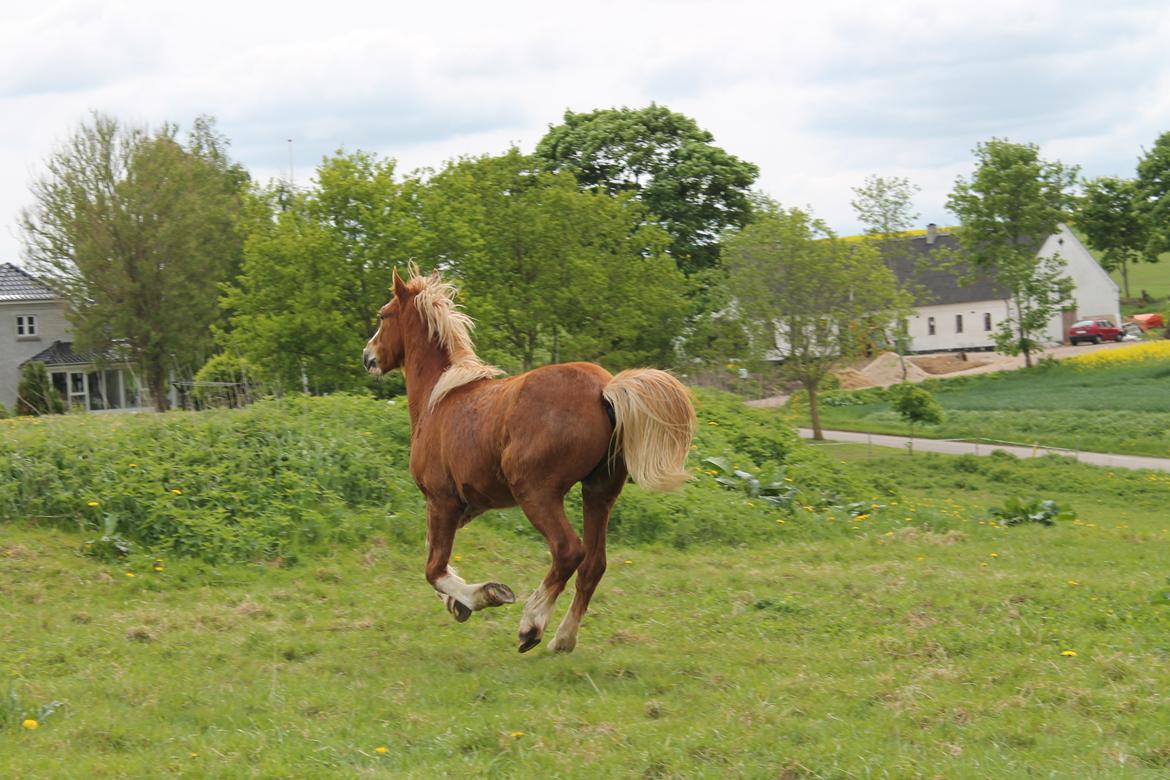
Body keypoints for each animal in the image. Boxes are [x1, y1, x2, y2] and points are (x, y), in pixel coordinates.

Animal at [365, 268, 692, 654]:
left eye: (383, 315)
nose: (368, 357)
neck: (440, 397)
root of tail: (605, 390)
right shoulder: (468, 505)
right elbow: (434, 555)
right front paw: (457, 604)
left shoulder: (442, 499)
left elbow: (434, 568)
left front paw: (486, 595)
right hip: (599, 492)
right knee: (594, 563)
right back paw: (562, 639)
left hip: (536, 493)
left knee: (569, 551)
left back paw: (531, 625)